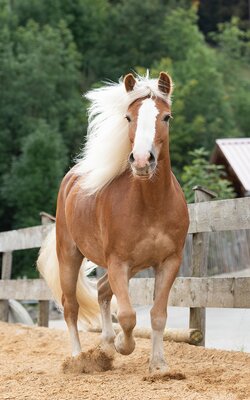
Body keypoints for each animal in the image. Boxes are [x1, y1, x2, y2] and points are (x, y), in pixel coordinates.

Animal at [37, 72, 189, 376]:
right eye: (128, 117)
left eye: (166, 117)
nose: (142, 161)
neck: (151, 205)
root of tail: (71, 177)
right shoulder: (119, 262)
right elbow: (129, 316)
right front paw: (123, 345)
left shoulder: (169, 262)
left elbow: (158, 314)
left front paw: (159, 365)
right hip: (70, 256)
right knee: (71, 306)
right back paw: (79, 358)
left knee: (102, 289)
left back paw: (105, 346)